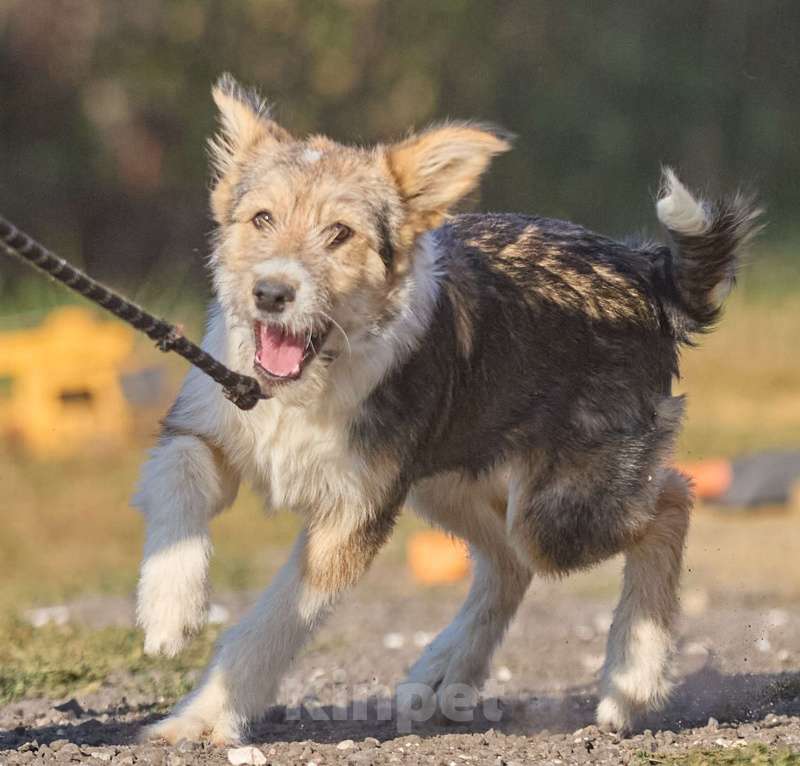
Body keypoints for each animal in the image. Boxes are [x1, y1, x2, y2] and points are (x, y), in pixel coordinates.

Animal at [134, 75, 760, 748]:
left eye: (340, 233)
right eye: (261, 218)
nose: (271, 293)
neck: (309, 386)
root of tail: (641, 270)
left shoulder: (353, 513)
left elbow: (273, 622)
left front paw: (201, 718)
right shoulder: (208, 420)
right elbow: (180, 476)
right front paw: (170, 610)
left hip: (560, 508)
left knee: (671, 499)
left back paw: (634, 676)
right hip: (447, 475)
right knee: (511, 562)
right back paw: (442, 673)